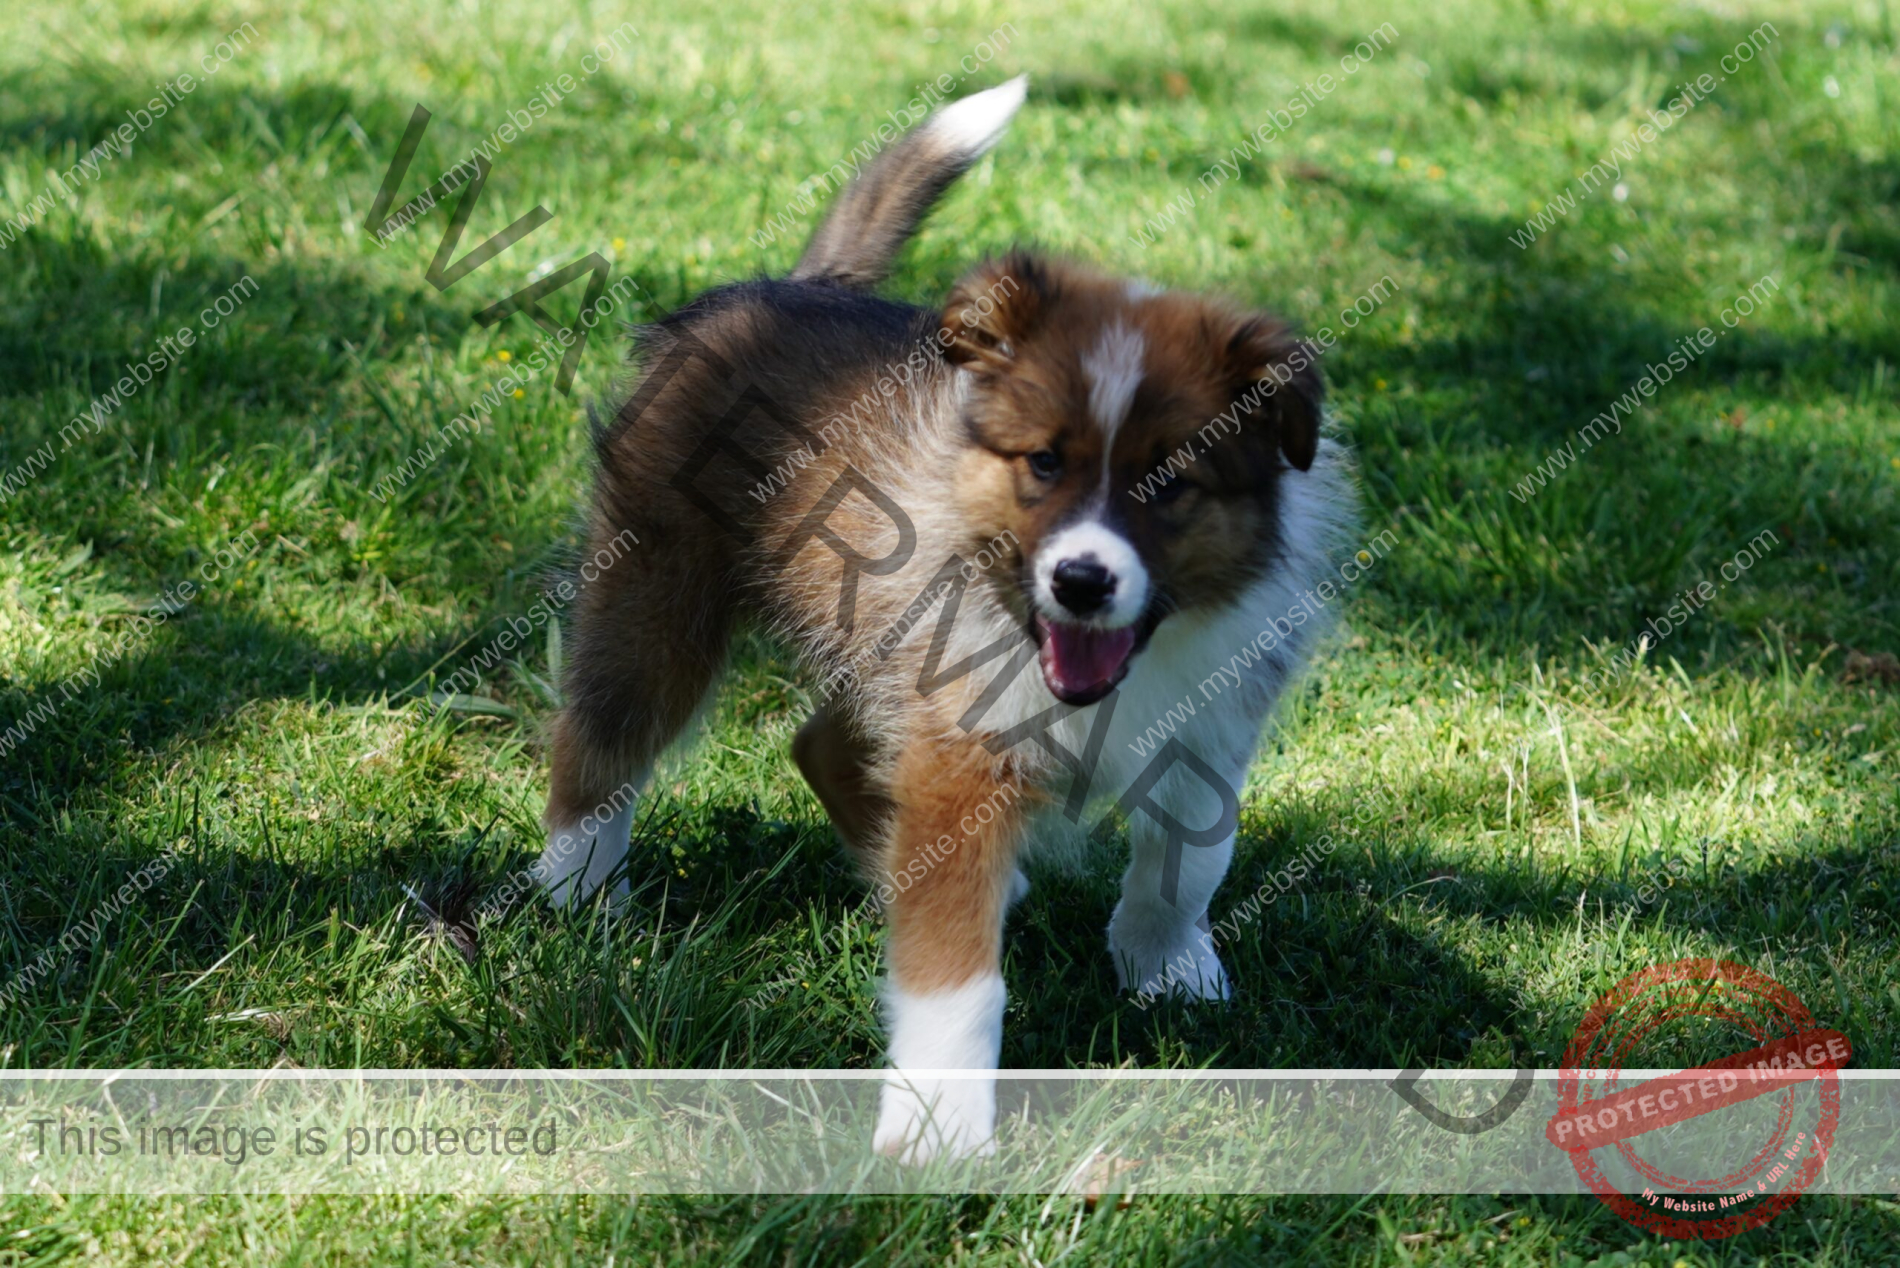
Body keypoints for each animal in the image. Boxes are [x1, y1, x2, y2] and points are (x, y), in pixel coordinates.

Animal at [543, 69, 1360, 1163]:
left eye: (1170, 483)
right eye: (1043, 462)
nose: (1082, 582)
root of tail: (789, 288)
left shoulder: (1210, 720)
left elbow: (1187, 861)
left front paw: (1167, 972)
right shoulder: (962, 743)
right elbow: (953, 973)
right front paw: (938, 1129)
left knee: (820, 743)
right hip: (657, 593)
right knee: (602, 737)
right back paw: (574, 896)